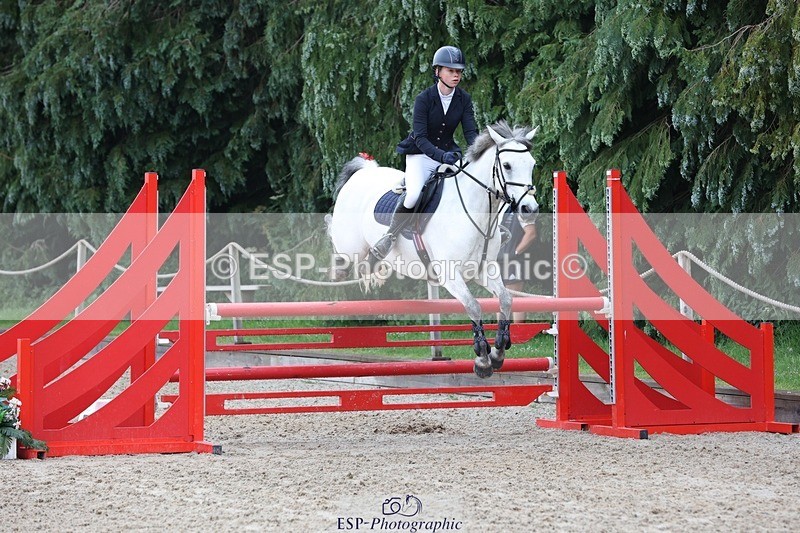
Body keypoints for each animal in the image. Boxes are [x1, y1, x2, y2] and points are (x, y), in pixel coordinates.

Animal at [327, 121, 539, 378]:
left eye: (532, 164)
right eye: (507, 166)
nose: (530, 209)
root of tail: (363, 172)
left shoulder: (483, 270)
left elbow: (506, 299)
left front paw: (498, 351)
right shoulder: (450, 274)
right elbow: (473, 305)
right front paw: (482, 358)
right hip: (350, 245)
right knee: (338, 244)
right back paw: (347, 268)